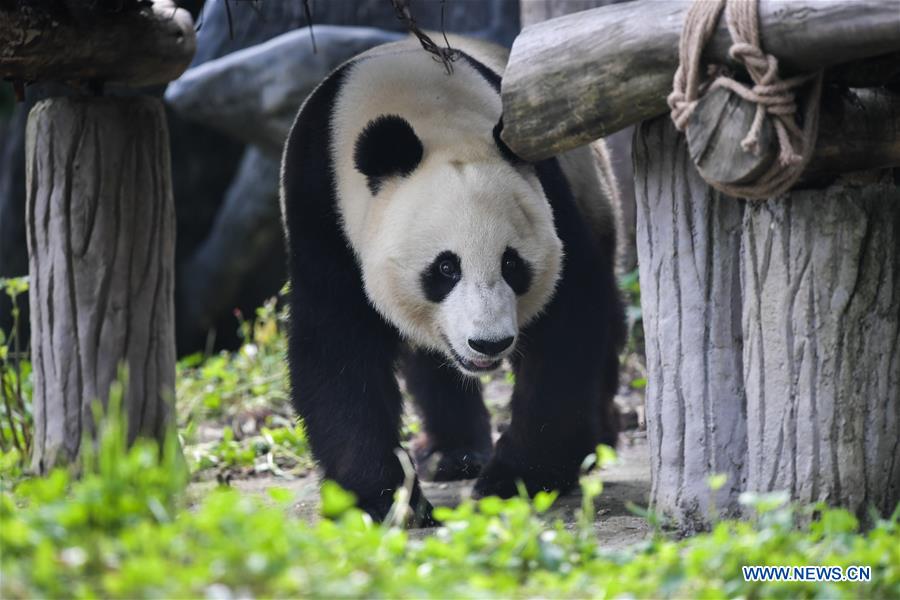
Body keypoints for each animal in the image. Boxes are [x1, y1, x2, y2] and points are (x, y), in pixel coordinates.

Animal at [280, 36, 624, 525]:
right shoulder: (322, 208)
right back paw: (452, 455)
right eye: (446, 268)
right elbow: (336, 344)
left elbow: (567, 318)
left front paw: (520, 476)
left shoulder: (549, 190)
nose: (489, 344)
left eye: (512, 264)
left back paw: (597, 442)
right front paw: (384, 499)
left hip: (593, 188)